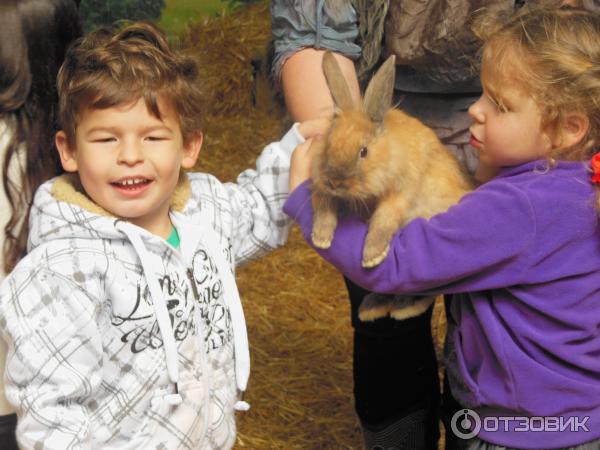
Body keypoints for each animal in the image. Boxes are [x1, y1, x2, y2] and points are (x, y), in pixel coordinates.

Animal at [310, 51, 474, 320]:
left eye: (363, 151)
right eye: (328, 143)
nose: (335, 181)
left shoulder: (400, 193)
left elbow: (384, 219)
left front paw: (371, 256)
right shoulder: (321, 186)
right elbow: (323, 205)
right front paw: (321, 237)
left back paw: (402, 308)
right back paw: (374, 307)